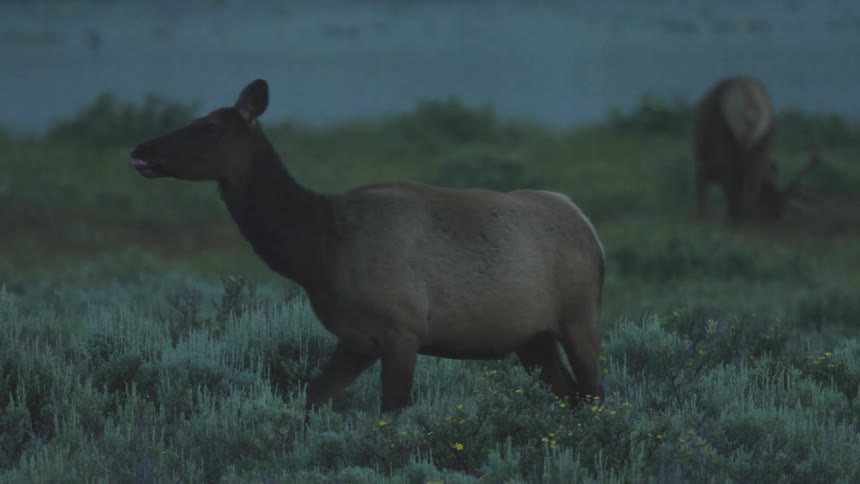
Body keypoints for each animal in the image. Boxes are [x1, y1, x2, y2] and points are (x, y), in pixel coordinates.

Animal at [129, 79, 606, 414]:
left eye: (209, 126)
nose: (140, 150)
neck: (317, 253)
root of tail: (590, 229)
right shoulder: (358, 338)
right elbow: (309, 398)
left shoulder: (403, 330)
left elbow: (390, 414)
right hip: (532, 337)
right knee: (570, 396)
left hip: (580, 315)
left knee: (595, 396)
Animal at [694, 76, 822, 223]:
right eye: (767, 201)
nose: (774, 217)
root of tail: (749, 101)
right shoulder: (705, 166)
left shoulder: (707, 165)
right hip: (759, 145)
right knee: (748, 184)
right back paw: (743, 218)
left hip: (725, 145)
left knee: (734, 185)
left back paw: (737, 219)